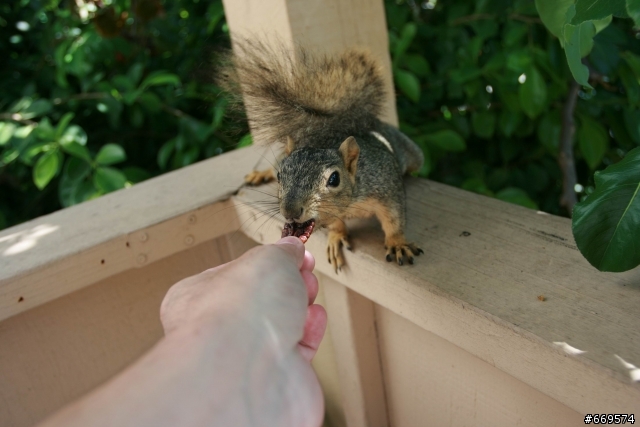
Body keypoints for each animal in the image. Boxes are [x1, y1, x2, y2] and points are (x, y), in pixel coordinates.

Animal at [218, 39, 424, 272]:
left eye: (334, 179)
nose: (290, 211)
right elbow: (335, 223)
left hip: (412, 154)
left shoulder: (386, 184)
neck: (350, 204)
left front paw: (397, 243)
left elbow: (394, 218)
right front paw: (336, 235)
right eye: (281, 176)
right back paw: (261, 173)